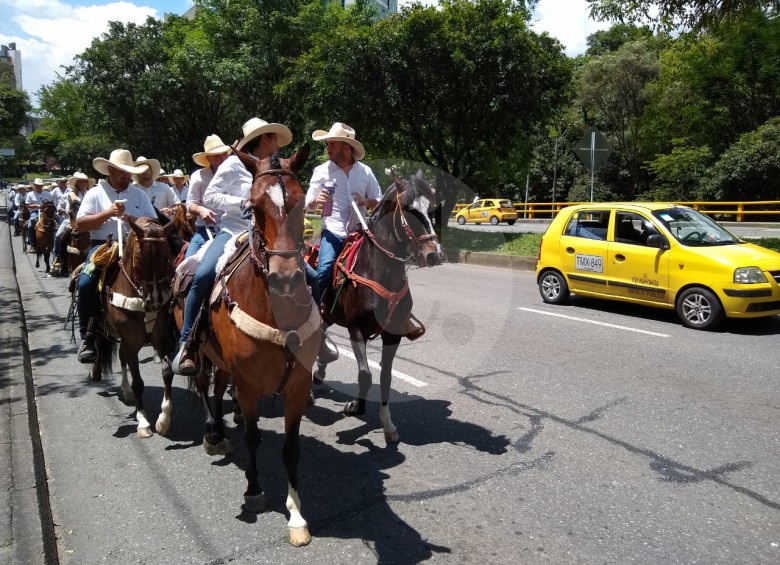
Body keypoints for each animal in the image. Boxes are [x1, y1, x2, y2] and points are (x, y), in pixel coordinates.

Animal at [90, 216, 177, 436]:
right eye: (139, 260)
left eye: (167, 258)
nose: (155, 301)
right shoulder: (131, 342)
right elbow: (139, 382)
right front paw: (143, 422)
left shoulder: (161, 339)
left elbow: (167, 373)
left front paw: (164, 420)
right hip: (101, 326)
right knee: (98, 342)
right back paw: (95, 371)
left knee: (120, 357)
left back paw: (126, 391)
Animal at [173, 143, 316, 544]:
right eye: (253, 207)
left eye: (302, 202)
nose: (286, 280)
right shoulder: (249, 387)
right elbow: (253, 438)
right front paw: (253, 491)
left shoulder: (298, 387)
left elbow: (291, 449)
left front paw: (296, 514)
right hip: (201, 353)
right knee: (203, 384)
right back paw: (213, 433)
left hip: (223, 362)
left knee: (218, 386)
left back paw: (220, 431)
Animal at [314, 170, 442, 442]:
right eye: (409, 210)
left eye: (431, 209)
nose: (434, 254)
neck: (378, 270)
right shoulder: (357, 331)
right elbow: (365, 374)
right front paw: (356, 406)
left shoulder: (392, 335)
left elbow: (385, 377)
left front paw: (388, 424)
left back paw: (320, 370)